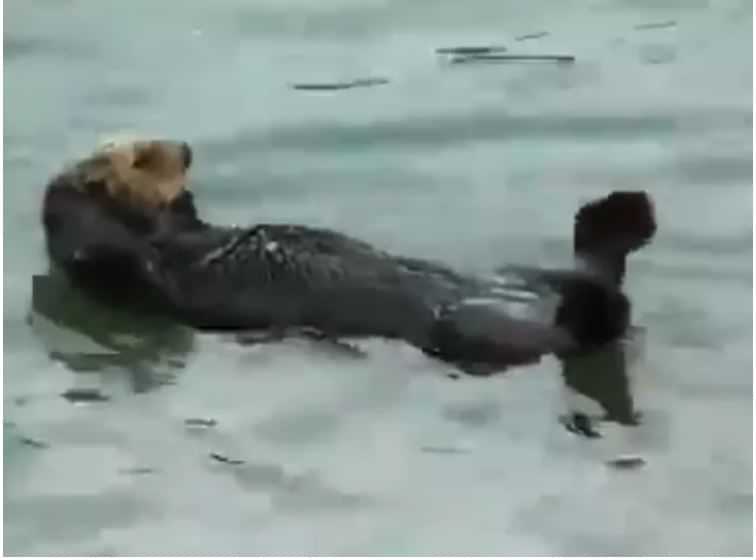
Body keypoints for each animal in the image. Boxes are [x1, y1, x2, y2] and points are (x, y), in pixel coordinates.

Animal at [41, 138, 656, 376]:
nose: (187, 151)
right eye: (143, 157)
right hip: (470, 336)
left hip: (519, 276)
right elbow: (104, 250)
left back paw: (616, 218)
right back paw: (616, 224)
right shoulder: (114, 266)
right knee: (591, 319)